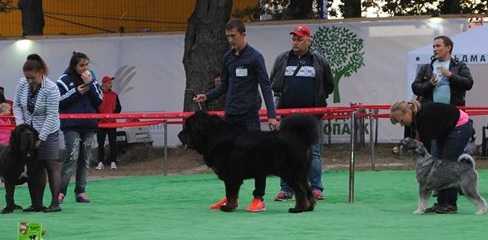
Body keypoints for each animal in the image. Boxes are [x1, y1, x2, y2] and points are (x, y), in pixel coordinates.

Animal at [179, 111, 320, 213]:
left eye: (188, 128)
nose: (179, 135)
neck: (213, 136)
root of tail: (299, 137)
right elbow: (232, 194)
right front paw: (231, 206)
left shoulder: (231, 176)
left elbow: (230, 193)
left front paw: (228, 207)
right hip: (301, 173)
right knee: (307, 189)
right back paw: (309, 208)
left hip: (290, 173)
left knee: (300, 191)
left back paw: (298, 209)